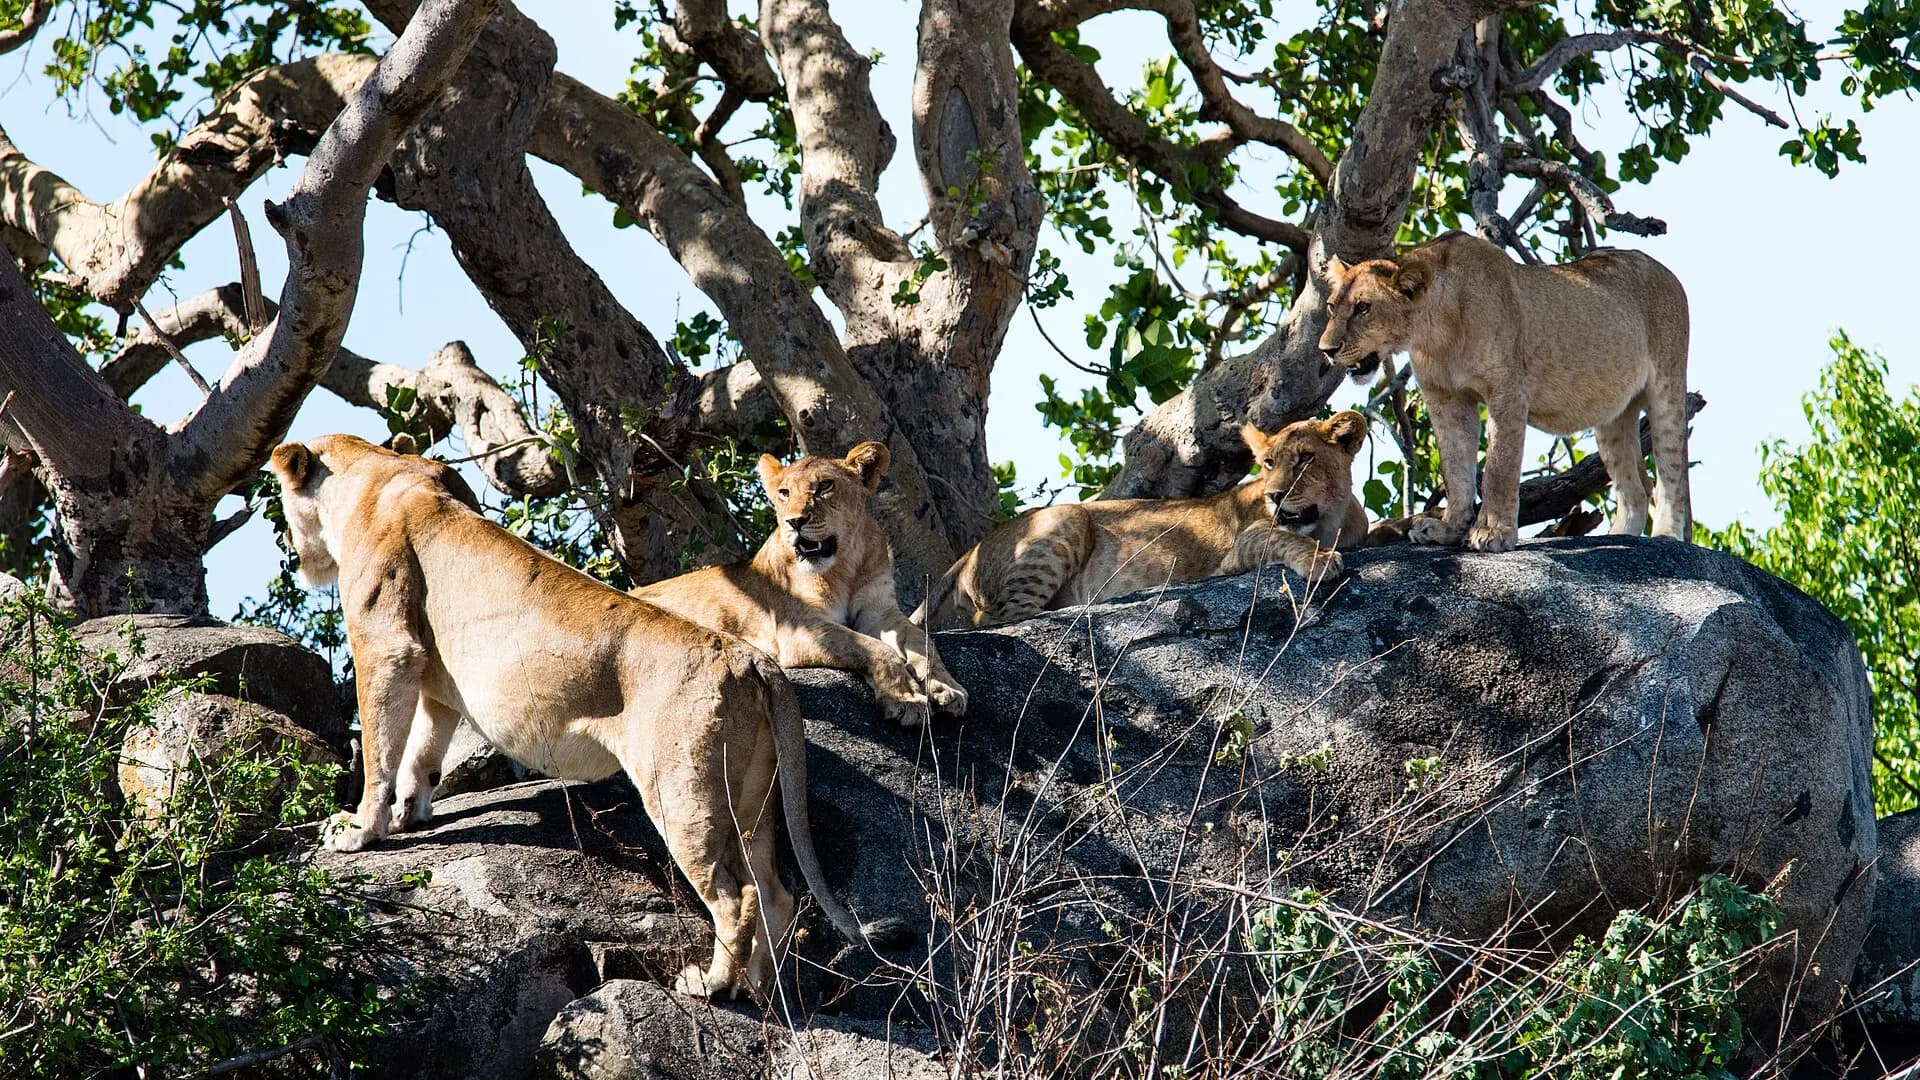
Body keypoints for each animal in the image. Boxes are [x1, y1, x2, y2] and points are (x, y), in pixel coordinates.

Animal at [267, 434, 903, 998]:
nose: (295, 556)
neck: (377, 470)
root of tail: (753, 658)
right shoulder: (438, 677)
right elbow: (424, 748)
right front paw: (409, 815)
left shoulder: (388, 644)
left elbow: (382, 745)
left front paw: (358, 830)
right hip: (753, 799)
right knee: (775, 893)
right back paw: (757, 991)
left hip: (682, 793)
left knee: (734, 897)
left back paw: (712, 986)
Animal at [635, 442, 966, 726]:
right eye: (784, 493)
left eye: (825, 486)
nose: (794, 521)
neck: (846, 565)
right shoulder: (800, 627)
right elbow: (873, 648)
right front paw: (906, 699)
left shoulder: (880, 612)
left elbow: (922, 640)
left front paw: (947, 688)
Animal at [916, 412, 1369, 630]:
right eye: (1269, 463)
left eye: (1306, 459)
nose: (1275, 495)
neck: (1329, 519)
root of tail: (971, 551)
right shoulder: (1238, 549)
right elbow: (1283, 538)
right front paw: (1320, 560)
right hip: (1066, 517)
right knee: (992, 617)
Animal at [1318, 230, 1691, 552]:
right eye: (1332, 307)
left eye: (1363, 307)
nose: (1326, 349)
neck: (1436, 334)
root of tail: (1664, 269)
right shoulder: (1446, 399)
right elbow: (1456, 466)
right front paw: (1449, 529)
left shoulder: (1508, 390)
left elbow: (1499, 467)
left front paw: (1492, 533)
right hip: (1613, 415)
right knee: (1635, 489)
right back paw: (1619, 539)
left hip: (1668, 388)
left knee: (1671, 475)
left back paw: (1666, 536)